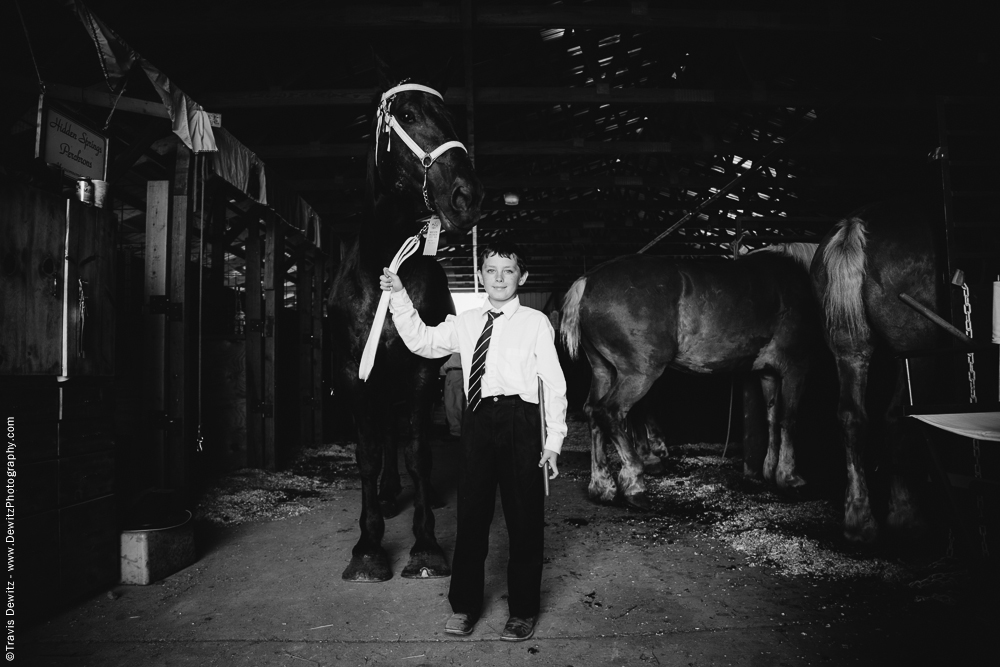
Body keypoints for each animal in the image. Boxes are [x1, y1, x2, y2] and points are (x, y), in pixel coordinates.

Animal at [328, 64, 484, 584]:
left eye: (452, 119)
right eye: (410, 116)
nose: (466, 197)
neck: (385, 269)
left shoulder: (418, 371)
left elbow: (418, 453)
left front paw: (426, 545)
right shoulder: (354, 374)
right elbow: (368, 454)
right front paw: (368, 546)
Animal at [564, 247, 820, 512]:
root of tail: (587, 282)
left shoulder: (767, 373)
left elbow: (772, 417)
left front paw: (770, 470)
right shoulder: (796, 368)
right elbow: (788, 419)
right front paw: (790, 478)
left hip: (604, 371)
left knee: (592, 413)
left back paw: (602, 486)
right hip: (638, 374)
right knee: (608, 412)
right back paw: (634, 483)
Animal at [808, 201, 948, 544]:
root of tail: (856, 227)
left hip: (849, 348)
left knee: (851, 417)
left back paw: (859, 520)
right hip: (916, 351)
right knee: (897, 418)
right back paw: (905, 515)